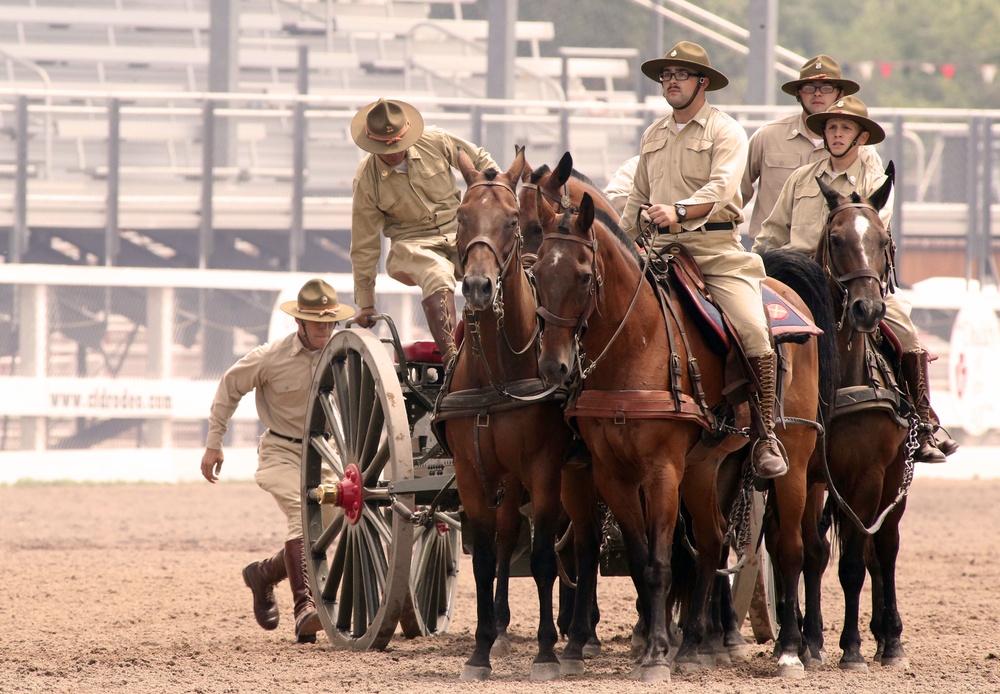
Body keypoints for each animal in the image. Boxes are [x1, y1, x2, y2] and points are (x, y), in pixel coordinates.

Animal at [432, 144, 596, 684]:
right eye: (462, 217)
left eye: (510, 222)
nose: (479, 287)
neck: (499, 373)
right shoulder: (473, 472)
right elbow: (486, 557)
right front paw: (481, 649)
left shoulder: (545, 468)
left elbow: (544, 558)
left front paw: (546, 652)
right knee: (512, 538)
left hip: (581, 472)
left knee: (585, 543)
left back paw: (581, 635)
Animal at [528, 192, 824, 684]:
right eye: (536, 275)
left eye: (584, 275)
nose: (555, 366)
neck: (636, 343)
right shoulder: (613, 474)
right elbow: (641, 558)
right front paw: (659, 646)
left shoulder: (662, 470)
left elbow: (660, 563)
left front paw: (654, 655)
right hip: (706, 469)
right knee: (710, 541)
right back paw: (693, 646)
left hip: (795, 461)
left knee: (789, 548)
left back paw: (789, 651)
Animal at [756, 164, 916, 676]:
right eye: (836, 237)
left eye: (883, 238)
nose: (867, 308)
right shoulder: (808, 475)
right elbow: (805, 551)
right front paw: (805, 641)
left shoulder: (865, 476)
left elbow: (854, 564)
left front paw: (852, 648)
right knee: (824, 549)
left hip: (894, 477)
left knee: (883, 548)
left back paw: (890, 638)